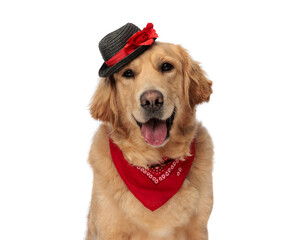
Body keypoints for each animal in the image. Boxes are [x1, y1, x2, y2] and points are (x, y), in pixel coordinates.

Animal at [85, 23, 214, 240]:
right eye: (128, 73)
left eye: (166, 67)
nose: (152, 100)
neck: (155, 165)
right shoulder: (111, 229)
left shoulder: (197, 229)